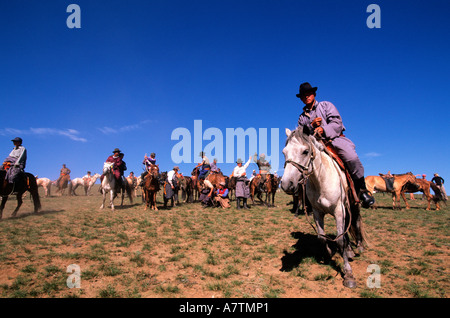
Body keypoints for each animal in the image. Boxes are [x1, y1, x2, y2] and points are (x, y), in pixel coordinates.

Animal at [282, 128, 366, 290]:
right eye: (284, 152)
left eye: (305, 151)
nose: (286, 184)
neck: (321, 179)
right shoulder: (317, 212)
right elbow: (321, 237)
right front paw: (328, 254)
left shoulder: (339, 211)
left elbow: (340, 240)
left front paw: (348, 274)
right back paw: (349, 251)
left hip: (353, 205)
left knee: (355, 222)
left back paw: (359, 246)